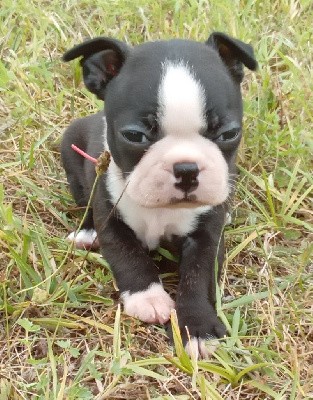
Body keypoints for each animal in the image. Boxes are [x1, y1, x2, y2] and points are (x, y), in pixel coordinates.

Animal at [61, 32, 256, 358]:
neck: (162, 208)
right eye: (134, 135)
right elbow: (128, 257)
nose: (187, 169)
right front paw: (148, 298)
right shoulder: (111, 219)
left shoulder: (206, 236)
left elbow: (198, 275)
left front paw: (198, 328)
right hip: (71, 149)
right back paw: (87, 233)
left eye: (229, 133)